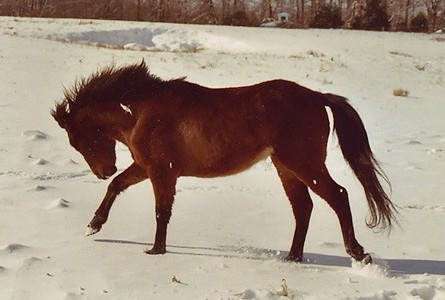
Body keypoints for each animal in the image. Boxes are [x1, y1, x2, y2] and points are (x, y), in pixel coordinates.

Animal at [52, 62, 396, 264]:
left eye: (79, 142)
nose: (102, 170)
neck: (141, 112)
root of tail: (316, 95)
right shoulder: (145, 167)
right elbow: (117, 186)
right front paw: (93, 225)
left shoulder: (161, 171)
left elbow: (162, 211)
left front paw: (156, 251)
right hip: (285, 167)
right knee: (303, 208)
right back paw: (293, 257)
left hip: (304, 163)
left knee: (338, 196)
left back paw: (357, 253)